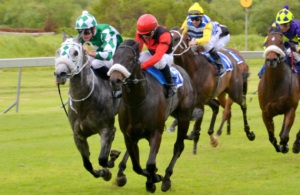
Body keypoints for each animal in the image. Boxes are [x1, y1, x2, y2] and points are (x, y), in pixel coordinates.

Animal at [54, 33, 120, 181]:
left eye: (75, 52)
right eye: (58, 52)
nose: (59, 74)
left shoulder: (105, 129)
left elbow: (102, 158)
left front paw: (109, 165)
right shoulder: (78, 135)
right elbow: (87, 164)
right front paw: (102, 172)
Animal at [108, 39, 197, 192]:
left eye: (130, 59)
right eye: (114, 57)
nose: (115, 80)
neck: (137, 101)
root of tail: (183, 72)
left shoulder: (156, 132)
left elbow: (150, 164)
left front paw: (155, 179)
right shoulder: (128, 135)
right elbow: (137, 166)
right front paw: (150, 178)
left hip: (184, 117)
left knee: (178, 146)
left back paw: (166, 179)